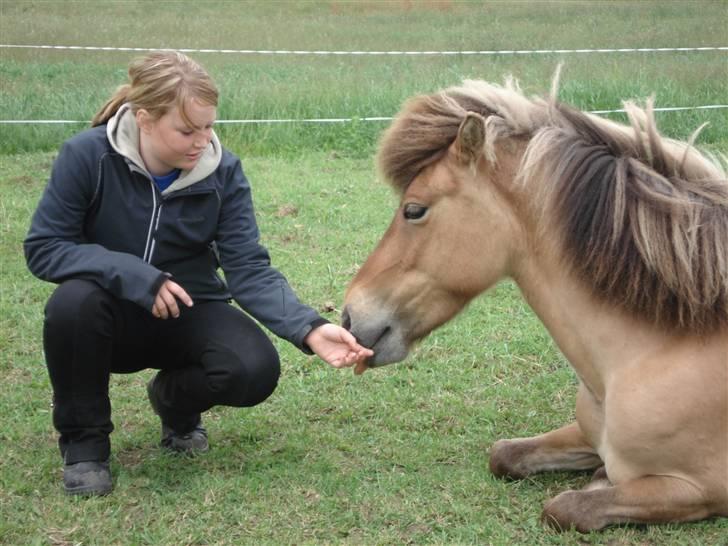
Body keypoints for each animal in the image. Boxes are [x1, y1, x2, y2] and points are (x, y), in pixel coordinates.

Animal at [342, 74, 728, 532]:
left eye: (414, 210)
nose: (349, 316)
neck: (652, 354)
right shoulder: (584, 434)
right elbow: (504, 454)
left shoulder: (703, 489)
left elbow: (566, 508)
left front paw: (596, 483)